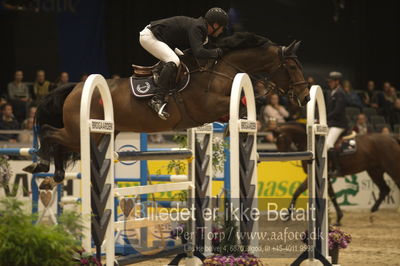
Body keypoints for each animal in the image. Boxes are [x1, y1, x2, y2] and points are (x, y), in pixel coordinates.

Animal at [23, 32, 310, 185]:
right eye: (292, 66)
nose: (305, 96)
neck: (218, 70)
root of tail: (76, 88)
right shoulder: (206, 107)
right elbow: (241, 105)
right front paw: (236, 127)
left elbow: (240, 108)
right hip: (78, 130)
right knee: (48, 132)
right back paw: (41, 165)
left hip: (94, 135)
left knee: (60, 143)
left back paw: (54, 174)